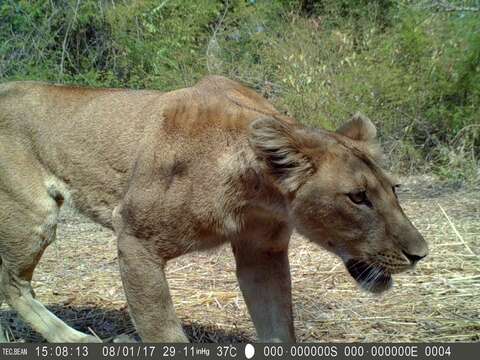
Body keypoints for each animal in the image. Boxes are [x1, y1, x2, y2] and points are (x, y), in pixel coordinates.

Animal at [0, 76, 428, 344]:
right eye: (358, 197)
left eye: (394, 190)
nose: (420, 254)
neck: (259, 192)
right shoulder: (136, 240)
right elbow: (164, 334)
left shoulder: (262, 253)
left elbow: (278, 325)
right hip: (32, 217)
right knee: (12, 284)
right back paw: (73, 338)